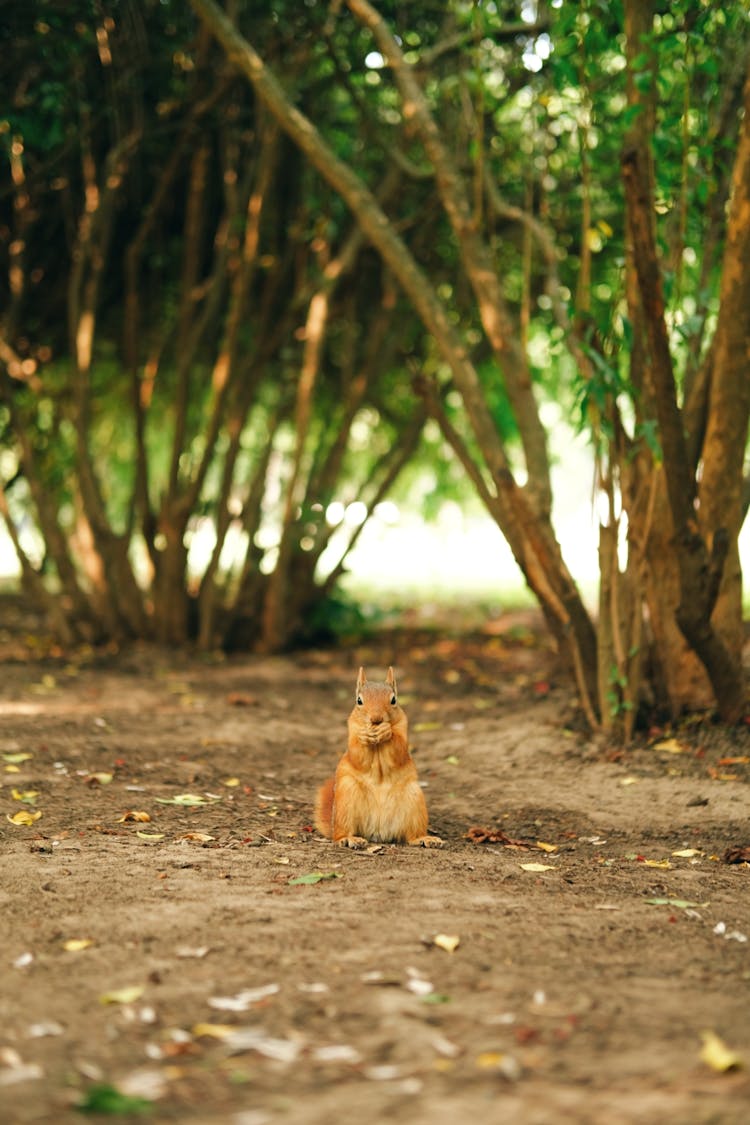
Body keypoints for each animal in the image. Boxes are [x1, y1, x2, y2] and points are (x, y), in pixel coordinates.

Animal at [314, 661, 443, 846]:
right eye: (359, 700)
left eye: (394, 700)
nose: (376, 719)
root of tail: (379, 832)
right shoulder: (352, 730)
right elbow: (357, 753)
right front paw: (365, 735)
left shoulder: (403, 728)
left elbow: (398, 749)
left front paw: (386, 731)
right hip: (345, 800)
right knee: (340, 832)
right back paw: (348, 838)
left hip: (414, 802)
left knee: (411, 835)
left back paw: (424, 838)